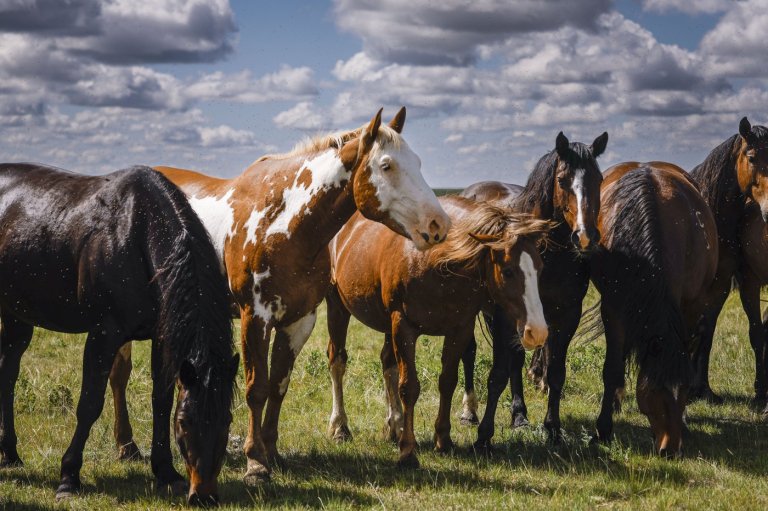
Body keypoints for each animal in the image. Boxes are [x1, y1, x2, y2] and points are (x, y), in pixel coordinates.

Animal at [0, 164, 238, 506]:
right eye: (184, 422)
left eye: (227, 420)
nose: (204, 496)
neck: (136, 235)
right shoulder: (104, 334)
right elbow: (89, 403)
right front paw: (68, 478)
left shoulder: (161, 338)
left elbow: (161, 399)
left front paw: (167, 473)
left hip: (17, 314)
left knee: (8, 372)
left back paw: (9, 454)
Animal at [107, 108, 451, 484]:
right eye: (386, 165)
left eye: (417, 162)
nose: (438, 225)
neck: (284, 224)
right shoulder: (254, 318)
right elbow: (256, 388)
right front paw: (255, 463)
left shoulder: (298, 321)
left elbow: (278, 385)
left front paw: (271, 451)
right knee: (119, 375)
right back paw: (127, 446)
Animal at [325, 195, 550, 466]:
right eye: (507, 271)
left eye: (540, 268)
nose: (537, 331)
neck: (434, 261)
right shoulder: (404, 326)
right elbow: (409, 387)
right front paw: (407, 451)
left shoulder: (459, 329)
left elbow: (448, 381)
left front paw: (443, 439)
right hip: (337, 305)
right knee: (338, 361)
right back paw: (340, 427)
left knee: (387, 363)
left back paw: (394, 425)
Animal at [458, 130, 608, 447]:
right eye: (562, 179)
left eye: (599, 179)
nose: (585, 237)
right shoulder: (504, 315)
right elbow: (499, 372)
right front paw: (486, 434)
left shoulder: (567, 315)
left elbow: (556, 373)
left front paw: (552, 428)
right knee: (471, 352)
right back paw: (470, 412)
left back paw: (520, 415)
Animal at [589, 162, 717, 456]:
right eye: (654, 390)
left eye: (684, 389)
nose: (670, 449)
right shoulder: (613, 308)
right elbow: (612, 368)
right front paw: (603, 430)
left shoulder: (690, 307)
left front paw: (685, 423)